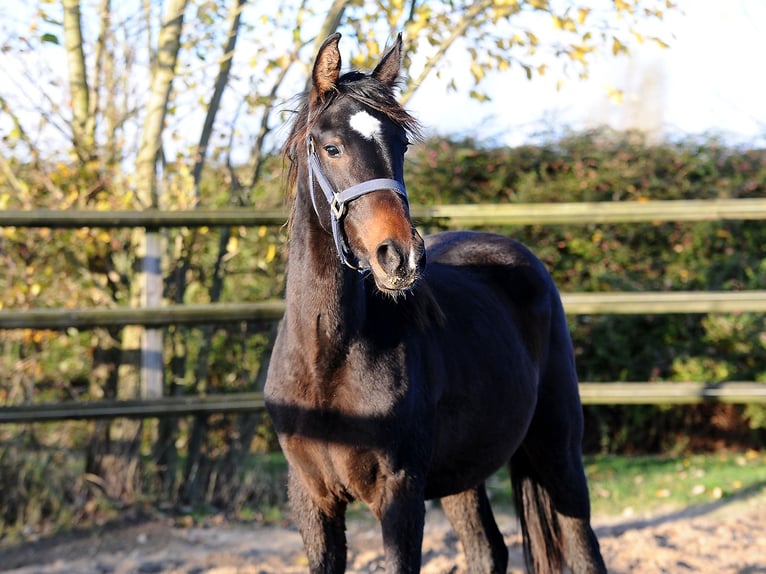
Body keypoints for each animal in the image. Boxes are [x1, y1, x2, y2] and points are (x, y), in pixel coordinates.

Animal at [268, 32, 608, 574]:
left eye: (401, 144)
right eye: (332, 147)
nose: (400, 255)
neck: (326, 358)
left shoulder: (400, 494)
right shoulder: (311, 499)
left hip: (558, 448)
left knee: (582, 548)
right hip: (462, 472)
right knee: (487, 550)